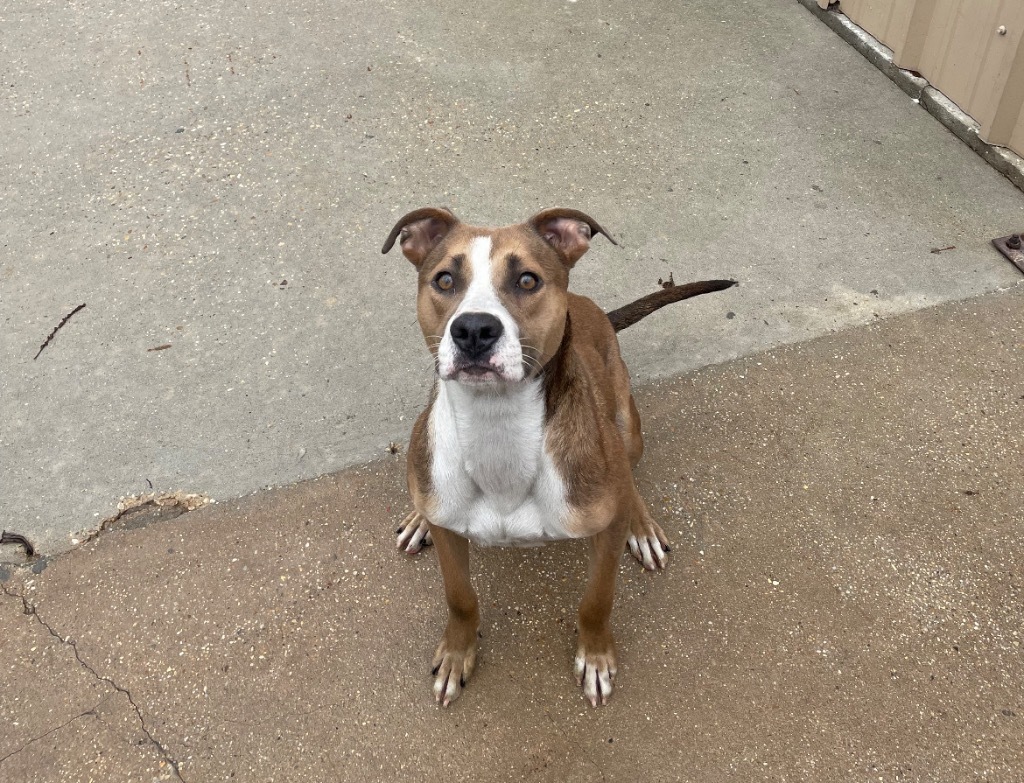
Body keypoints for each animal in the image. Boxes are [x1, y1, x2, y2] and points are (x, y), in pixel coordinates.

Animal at [385, 207, 737, 708]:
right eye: (445, 279)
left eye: (528, 280)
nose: (473, 329)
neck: (498, 425)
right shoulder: (451, 538)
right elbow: (460, 598)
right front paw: (457, 654)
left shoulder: (603, 532)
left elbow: (597, 600)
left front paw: (595, 657)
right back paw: (417, 518)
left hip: (626, 423)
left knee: (629, 476)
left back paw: (642, 526)